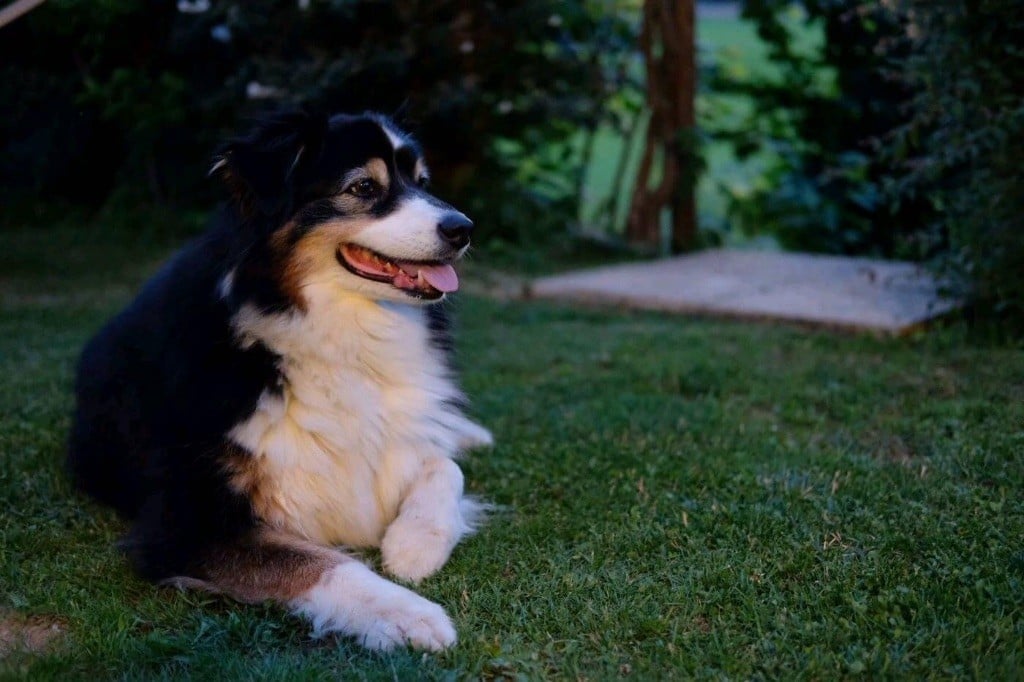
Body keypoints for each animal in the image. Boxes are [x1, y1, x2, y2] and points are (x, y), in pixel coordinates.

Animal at [66, 109, 493, 651]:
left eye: (421, 182)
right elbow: (320, 564)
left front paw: (412, 545)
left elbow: (445, 466)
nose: (464, 228)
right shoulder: (186, 521)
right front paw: (410, 614)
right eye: (363, 187)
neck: (340, 333)